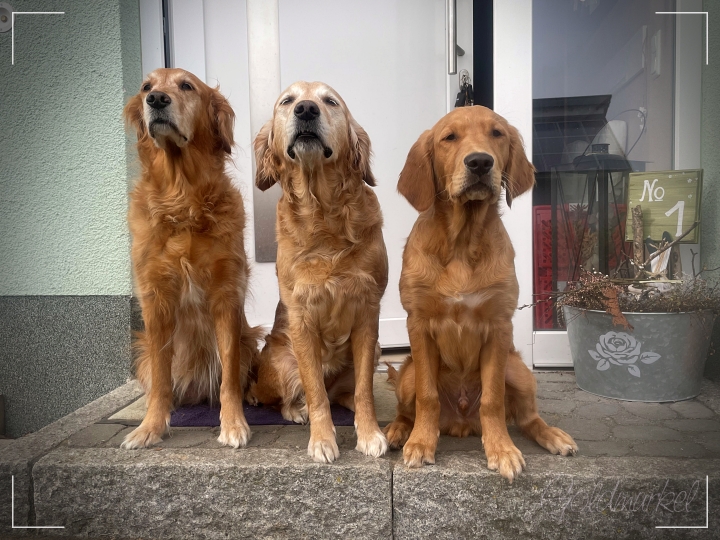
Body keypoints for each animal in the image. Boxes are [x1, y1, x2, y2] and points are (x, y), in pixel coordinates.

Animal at [121, 68, 261, 449]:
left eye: (187, 86)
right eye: (146, 87)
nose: (156, 100)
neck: (181, 198)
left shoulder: (226, 293)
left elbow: (229, 374)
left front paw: (233, 423)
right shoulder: (155, 299)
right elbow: (161, 376)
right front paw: (151, 427)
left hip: (250, 338)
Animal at [249, 81, 388, 463]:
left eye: (330, 101)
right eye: (287, 101)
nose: (307, 109)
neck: (323, 211)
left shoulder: (368, 312)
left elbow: (365, 390)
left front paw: (369, 431)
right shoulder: (301, 318)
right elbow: (315, 392)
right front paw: (323, 439)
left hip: (376, 350)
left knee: (344, 392)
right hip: (282, 361)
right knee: (283, 398)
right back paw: (295, 410)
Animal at [385, 106, 578, 481]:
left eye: (497, 134)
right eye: (449, 137)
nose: (479, 162)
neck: (462, 241)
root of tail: (461, 423)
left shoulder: (499, 326)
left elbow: (493, 400)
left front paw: (501, 449)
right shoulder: (418, 324)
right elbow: (427, 396)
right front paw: (421, 443)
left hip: (519, 370)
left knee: (527, 417)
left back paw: (552, 435)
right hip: (409, 372)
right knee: (407, 407)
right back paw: (400, 431)